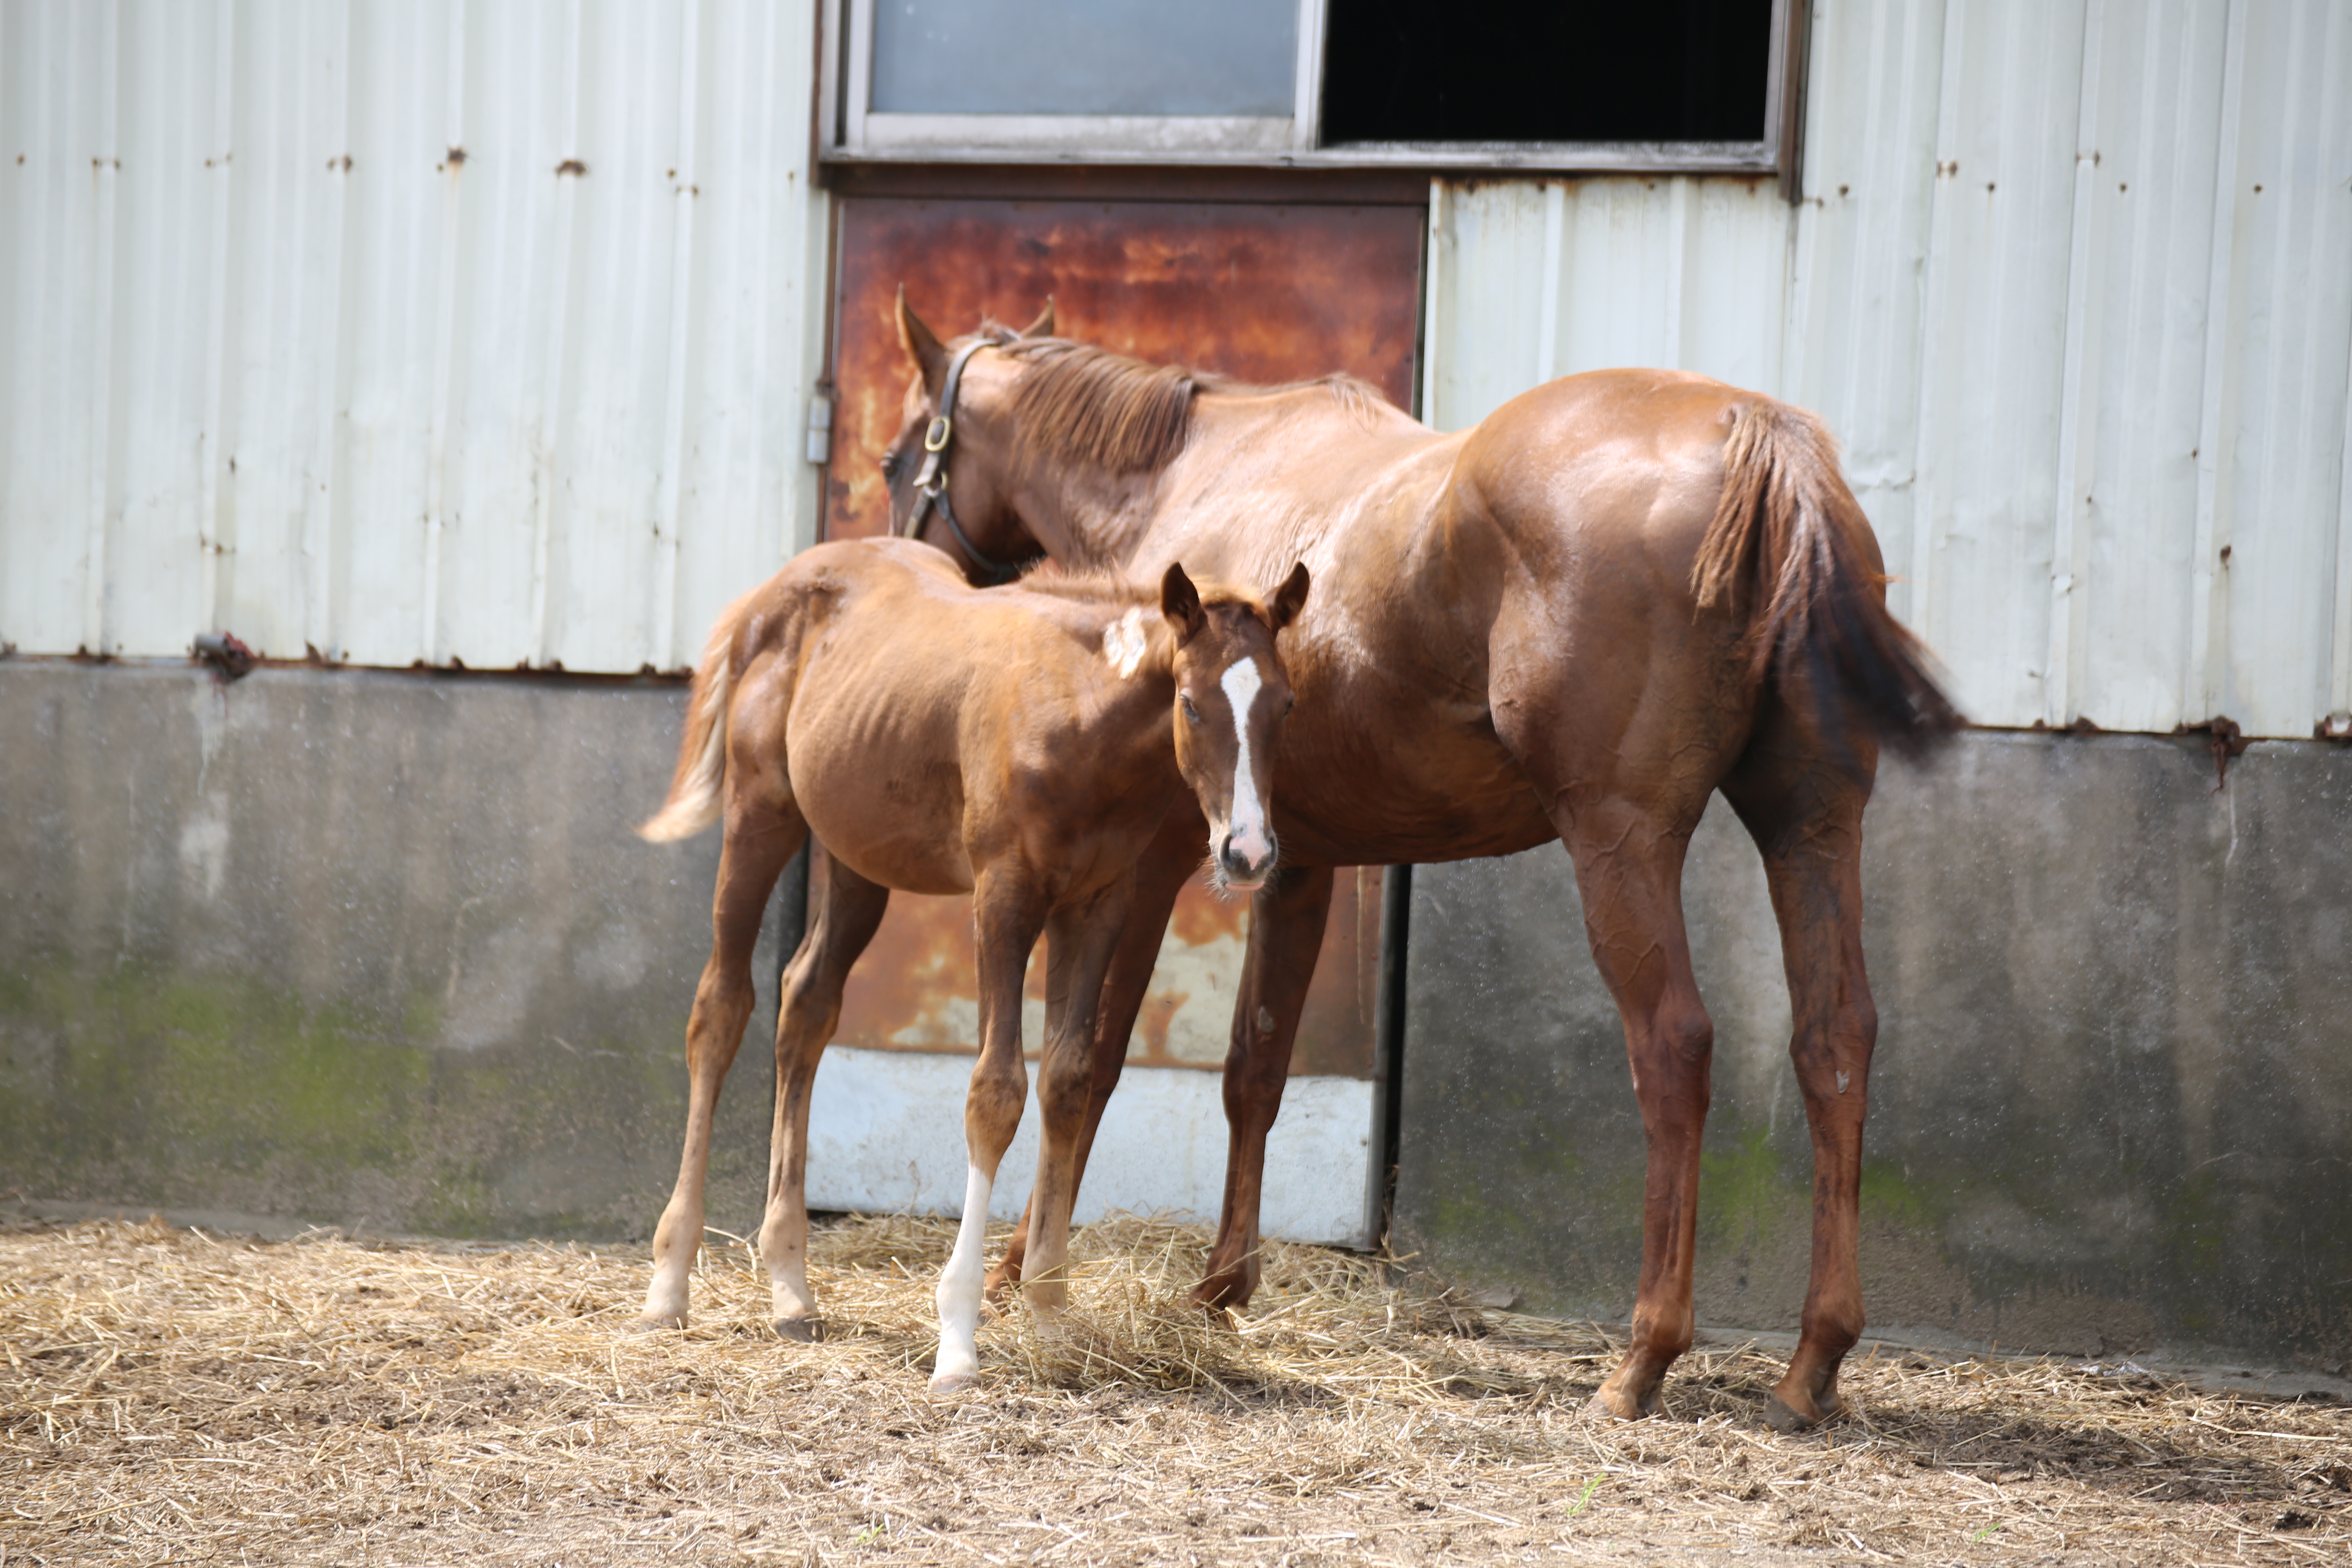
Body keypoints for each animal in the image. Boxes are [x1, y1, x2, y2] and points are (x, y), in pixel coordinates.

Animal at [635, 533, 1317, 1392]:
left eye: (1284, 706)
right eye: (1192, 704)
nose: (1249, 854)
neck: (1079, 720)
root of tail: (771, 591)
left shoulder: (1098, 905)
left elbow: (1068, 1083)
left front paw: (1051, 1315)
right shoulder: (1004, 898)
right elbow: (995, 1093)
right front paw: (958, 1338)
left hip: (857, 856)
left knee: (807, 1004)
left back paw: (791, 1287)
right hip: (761, 816)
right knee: (721, 1009)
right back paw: (669, 1284)